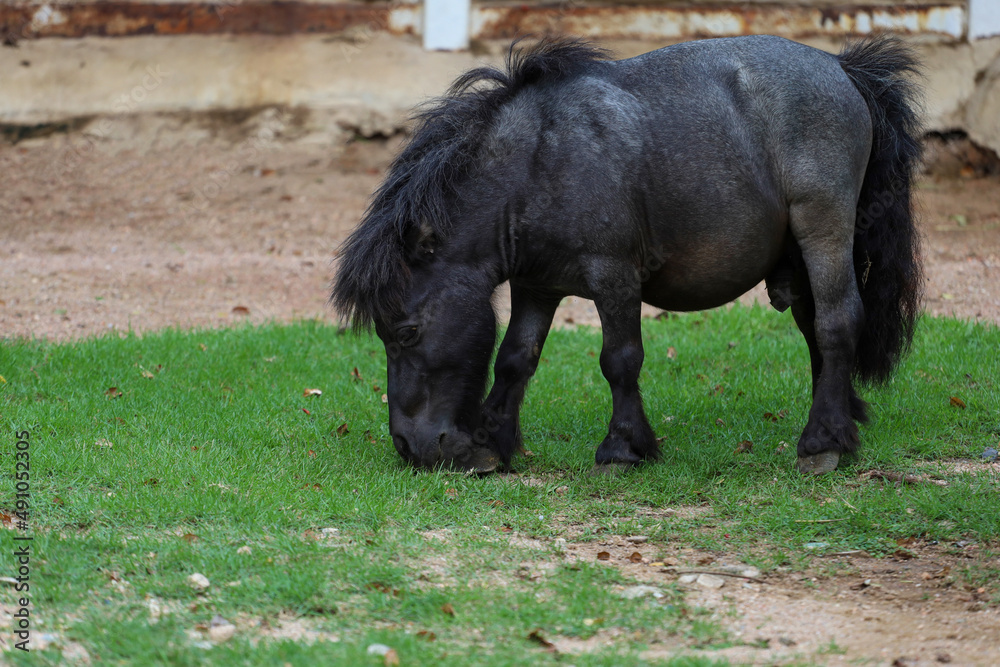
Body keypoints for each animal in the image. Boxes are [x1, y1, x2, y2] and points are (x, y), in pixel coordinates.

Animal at [332, 34, 923, 476]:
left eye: (406, 331)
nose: (409, 447)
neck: (537, 164)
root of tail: (842, 68)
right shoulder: (535, 286)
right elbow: (515, 359)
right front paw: (492, 444)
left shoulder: (613, 278)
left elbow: (619, 360)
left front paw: (622, 447)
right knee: (815, 329)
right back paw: (843, 419)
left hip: (823, 233)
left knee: (837, 323)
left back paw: (823, 441)